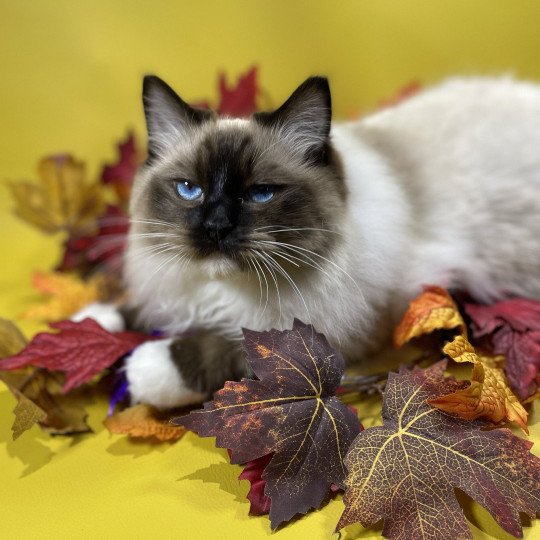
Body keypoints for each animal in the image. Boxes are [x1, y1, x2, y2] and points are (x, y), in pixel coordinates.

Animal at [75, 74, 540, 408]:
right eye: (190, 189)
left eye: (260, 193)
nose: (216, 226)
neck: (223, 292)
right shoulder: (171, 286)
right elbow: (129, 310)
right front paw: (84, 330)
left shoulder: (323, 337)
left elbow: (231, 349)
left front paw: (142, 368)